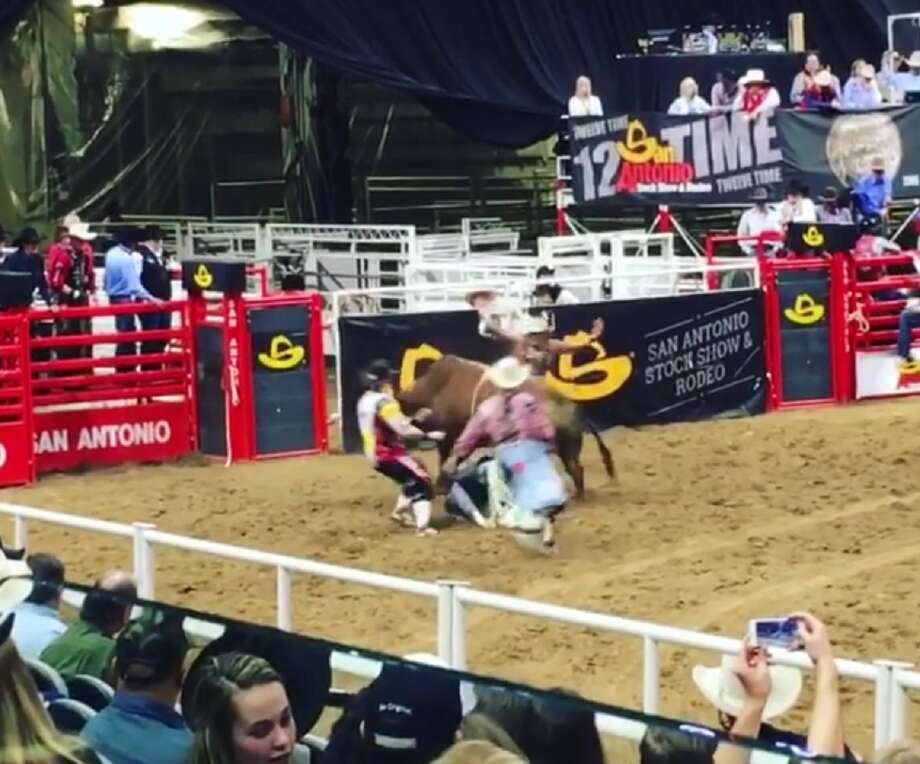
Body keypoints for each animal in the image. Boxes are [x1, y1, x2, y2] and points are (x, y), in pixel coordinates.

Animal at [398, 356, 620, 498]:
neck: (437, 390)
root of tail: (569, 403)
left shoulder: (454, 436)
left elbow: (449, 457)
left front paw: (441, 486)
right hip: (568, 446)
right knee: (576, 468)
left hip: (564, 446)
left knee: (575, 469)